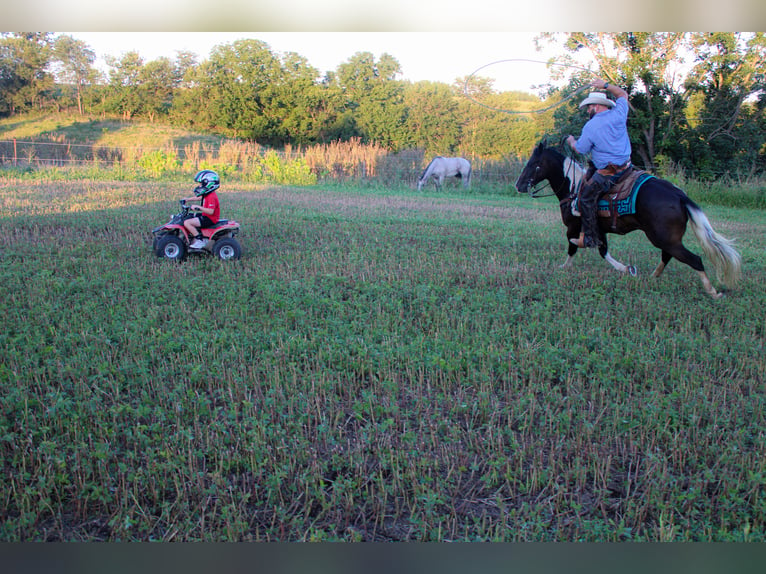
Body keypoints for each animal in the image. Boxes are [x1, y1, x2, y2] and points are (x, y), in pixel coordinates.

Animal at [516, 141, 744, 300]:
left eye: (533, 164)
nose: (518, 185)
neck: (574, 187)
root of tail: (679, 195)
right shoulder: (599, 230)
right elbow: (602, 250)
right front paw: (626, 269)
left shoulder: (574, 227)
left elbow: (575, 247)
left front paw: (566, 266)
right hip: (666, 238)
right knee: (668, 255)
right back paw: (653, 276)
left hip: (663, 238)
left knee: (694, 259)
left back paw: (713, 292)